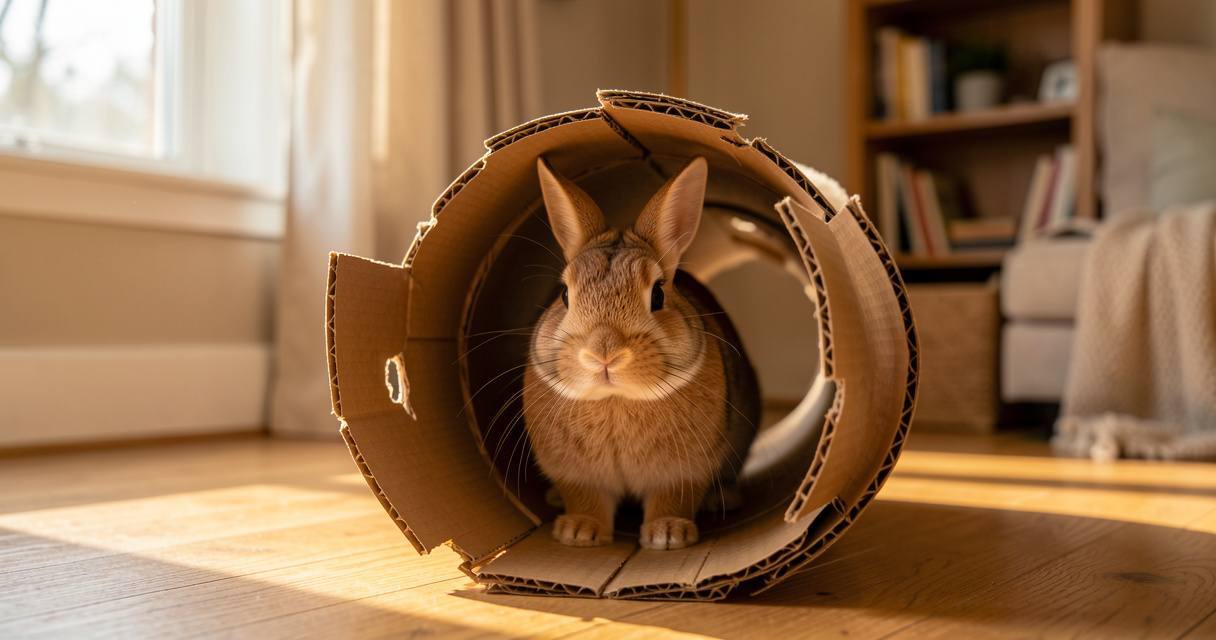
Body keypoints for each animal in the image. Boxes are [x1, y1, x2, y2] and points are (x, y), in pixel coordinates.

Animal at [522, 156, 760, 550]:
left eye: (659, 295)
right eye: (565, 295)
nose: (604, 353)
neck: (615, 399)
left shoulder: (684, 471)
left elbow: (672, 498)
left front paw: (668, 535)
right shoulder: (574, 472)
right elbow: (585, 497)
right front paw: (578, 532)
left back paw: (719, 499)